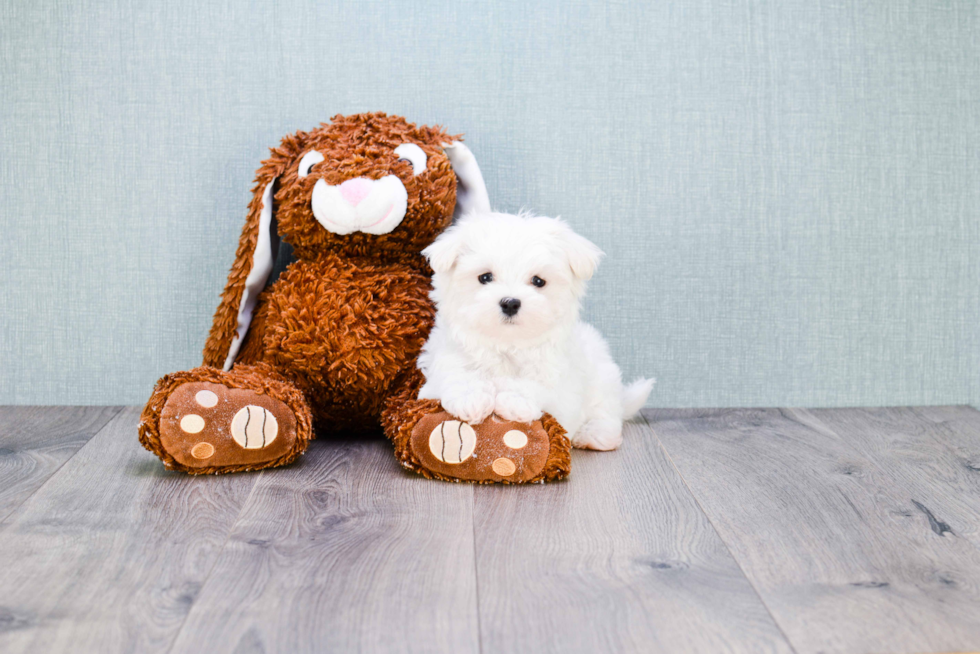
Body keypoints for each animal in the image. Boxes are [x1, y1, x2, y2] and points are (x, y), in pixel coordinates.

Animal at [414, 210, 652, 452]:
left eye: (538, 281)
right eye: (485, 277)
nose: (510, 303)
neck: (507, 343)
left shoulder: (560, 380)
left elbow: (538, 385)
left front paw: (515, 400)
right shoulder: (443, 364)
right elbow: (458, 373)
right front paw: (470, 398)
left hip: (603, 378)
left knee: (606, 412)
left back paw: (593, 434)